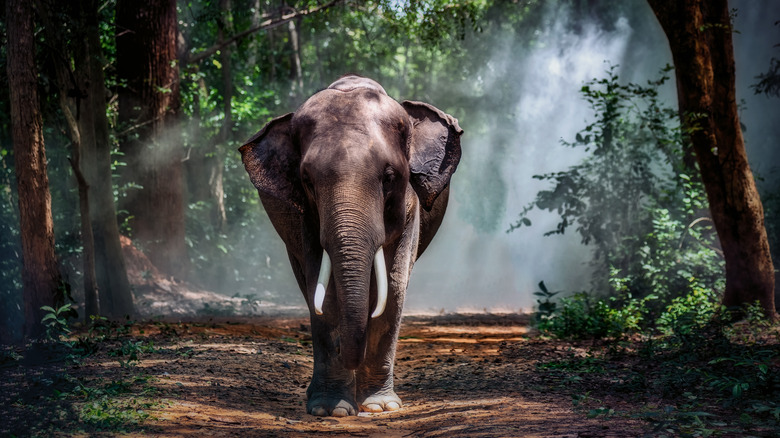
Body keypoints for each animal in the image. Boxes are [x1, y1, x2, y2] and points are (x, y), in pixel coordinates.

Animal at [241, 75, 460, 418]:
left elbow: (393, 287)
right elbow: (324, 292)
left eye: (389, 177)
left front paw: (381, 406)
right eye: (307, 180)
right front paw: (331, 409)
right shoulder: (305, 217)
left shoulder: (409, 206)